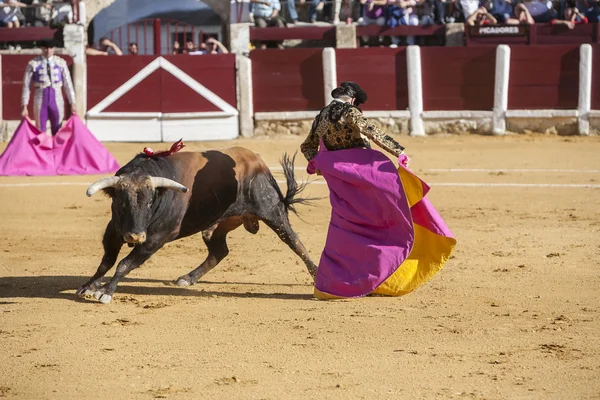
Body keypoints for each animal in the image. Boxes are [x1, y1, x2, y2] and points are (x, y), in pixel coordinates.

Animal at [78, 147, 318, 304]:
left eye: (150, 201)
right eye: (121, 201)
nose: (135, 237)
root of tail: (257, 161)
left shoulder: (156, 239)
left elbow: (124, 264)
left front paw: (106, 291)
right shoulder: (114, 230)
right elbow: (106, 262)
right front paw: (89, 286)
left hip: (273, 213)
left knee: (295, 241)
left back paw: (317, 275)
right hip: (217, 225)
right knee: (219, 250)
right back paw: (188, 278)